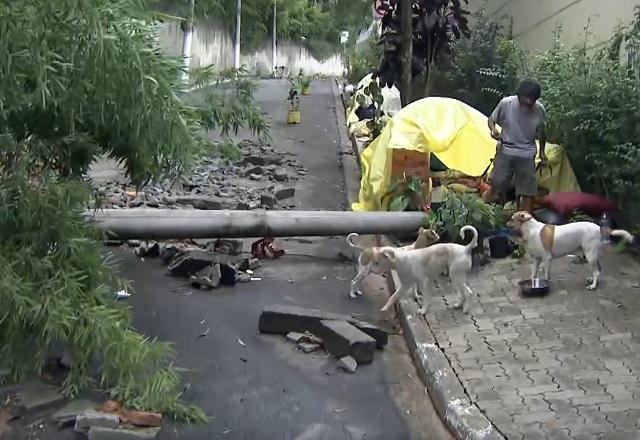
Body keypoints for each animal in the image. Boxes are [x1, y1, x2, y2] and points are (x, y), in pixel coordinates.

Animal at [504, 211, 636, 290]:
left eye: (512, 218)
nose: (505, 223)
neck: (532, 229)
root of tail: (599, 228)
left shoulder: (547, 259)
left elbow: (546, 275)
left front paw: (545, 284)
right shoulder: (536, 259)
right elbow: (533, 274)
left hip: (589, 255)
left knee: (596, 272)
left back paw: (593, 286)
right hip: (593, 255)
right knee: (599, 270)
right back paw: (593, 281)